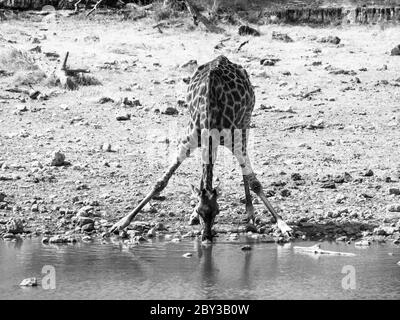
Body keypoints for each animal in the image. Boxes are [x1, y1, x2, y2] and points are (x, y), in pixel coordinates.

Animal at [108, 55, 290, 240]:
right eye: (200, 210)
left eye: (218, 211)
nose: (207, 236)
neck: (209, 116)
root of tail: (223, 58)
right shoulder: (190, 139)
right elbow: (161, 183)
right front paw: (121, 223)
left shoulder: (233, 139)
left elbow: (255, 183)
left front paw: (283, 225)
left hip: (245, 123)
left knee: (244, 168)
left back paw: (250, 212)